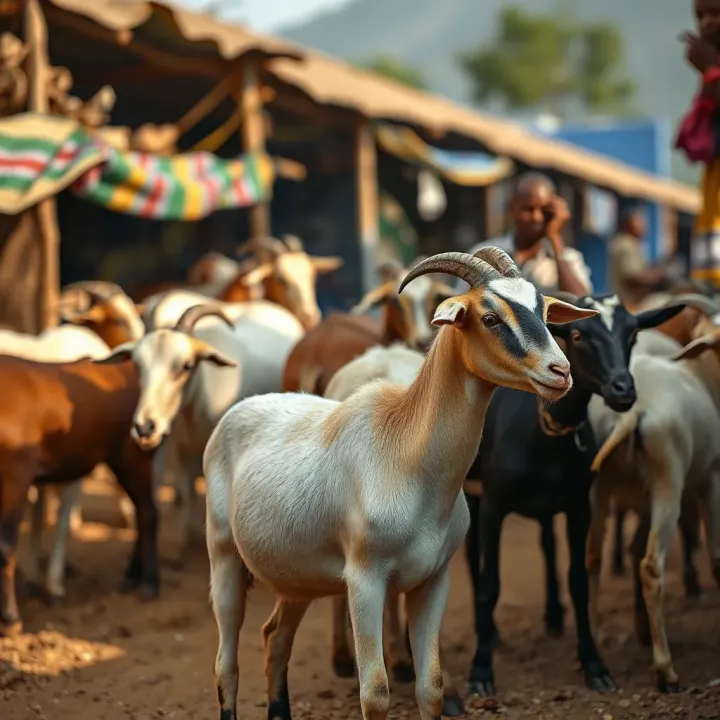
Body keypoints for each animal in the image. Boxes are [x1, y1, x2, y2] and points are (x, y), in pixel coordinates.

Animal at [0, 354, 158, 636]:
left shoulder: (16, 476)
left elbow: (6, 547)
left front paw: (10, 619)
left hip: (133, 458)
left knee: (148, 512)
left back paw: (148, 582)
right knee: (142, 511)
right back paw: (132, 576)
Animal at [203, 248, 599, 720]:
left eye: (543, 310)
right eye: (490, 317)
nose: (560, 372)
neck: (408, 458)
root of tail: (239, 411)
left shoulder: (433, 581)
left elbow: (432, 687)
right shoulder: (364, 582)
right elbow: (374, 691)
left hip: (298, 579)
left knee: (275, 638)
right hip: (225, 560)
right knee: (226, 665)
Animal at [463, 292, 685, 698]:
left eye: (632, 335)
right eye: (579, 335)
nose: (623, 390)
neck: (543, 431)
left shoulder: (578, 506)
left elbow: (579, 582)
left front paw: (595, 665)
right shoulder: (493, 506)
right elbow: (490, 585)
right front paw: (481, 671)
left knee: (548, 544)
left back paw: (552, 615)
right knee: (473, 559)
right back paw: (492, 631)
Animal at [587, 293, 720, 692]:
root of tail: (632, 414)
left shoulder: (640, 499)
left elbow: (630, 549)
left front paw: (642, 629)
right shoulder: (710, 478)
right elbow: (716, 557)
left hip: (598, 489)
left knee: (592, 558)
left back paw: (594, 644)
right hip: (668, 484)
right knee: (651, 566)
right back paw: (666, 671)